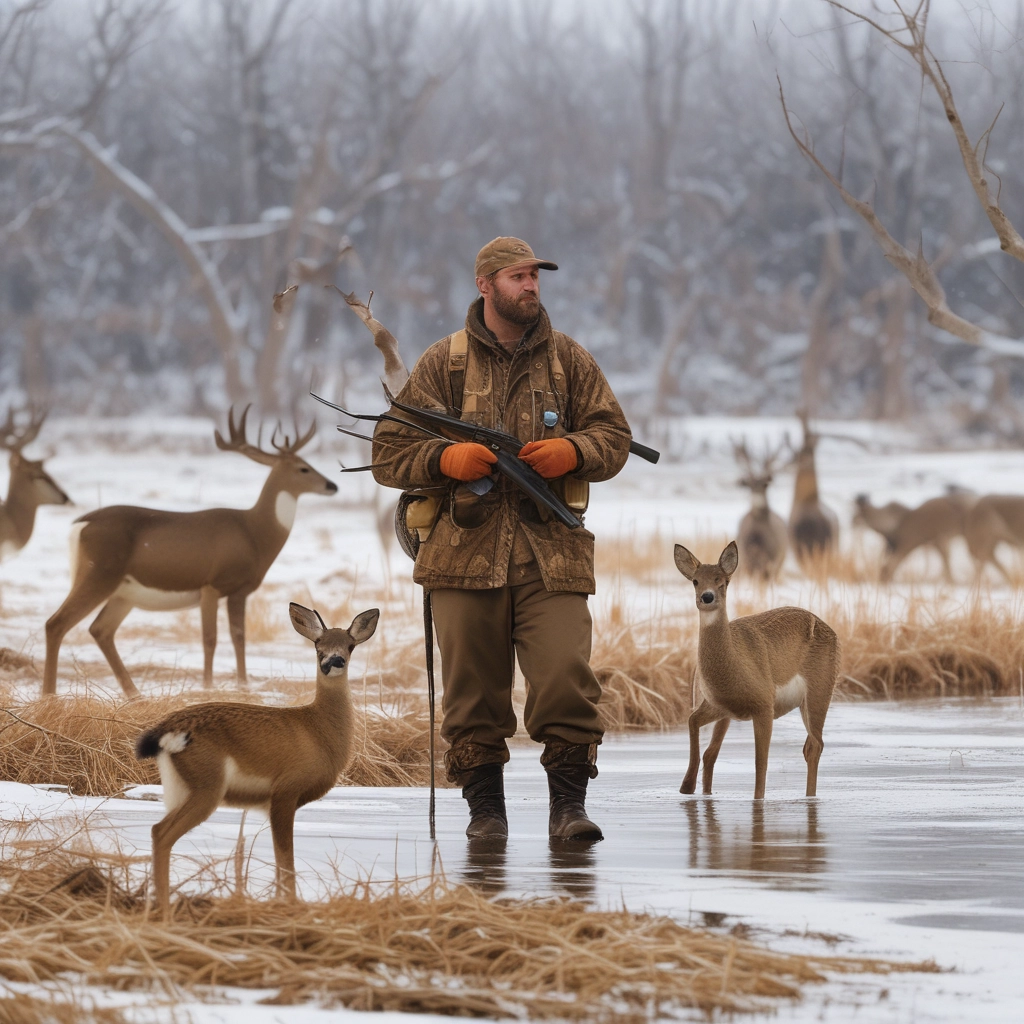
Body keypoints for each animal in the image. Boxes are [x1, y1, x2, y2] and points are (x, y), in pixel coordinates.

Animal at [43, 407, 337, 698]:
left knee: (100, 629)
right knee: (56, 623)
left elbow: (237, 637)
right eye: (303, 468)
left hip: (123, 593)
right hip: (99, 574)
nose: (332, 485)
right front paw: (211, 686)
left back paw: (135, 694)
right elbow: (214, 638)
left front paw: (240, 685)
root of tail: (79, 525)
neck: (254, 531)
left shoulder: (237, 590)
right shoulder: (215, 584)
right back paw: (49, 694)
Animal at [136, 603, 379, 916]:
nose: (332, 661)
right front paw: (289, 906)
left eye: (349, 646)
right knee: (163, 833)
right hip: (207, 784)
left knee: (156, 830)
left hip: (178, 787)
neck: (317, 731)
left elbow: (280, 862)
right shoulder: (285, 791)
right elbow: (286, 861)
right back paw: (166, 910)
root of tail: (165, 732)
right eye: (318, 645)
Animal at [674, 541, 839, 800]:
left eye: (723, 580)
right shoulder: (719, 705)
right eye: (695, 580)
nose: (707, 597)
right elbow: (694, 725)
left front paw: (757, 800)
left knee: (814, 745)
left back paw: (810, 797)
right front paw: (686, 787)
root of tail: (831, 631)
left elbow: (761, 762)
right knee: (712, 753)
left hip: (819, 691)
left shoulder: (764, 705)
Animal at [732, 439, 788, 582]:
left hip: (780, 560)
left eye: (765, 484)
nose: (756, 498)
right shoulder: (746, 561)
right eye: (749, 485)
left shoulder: (773, 560)